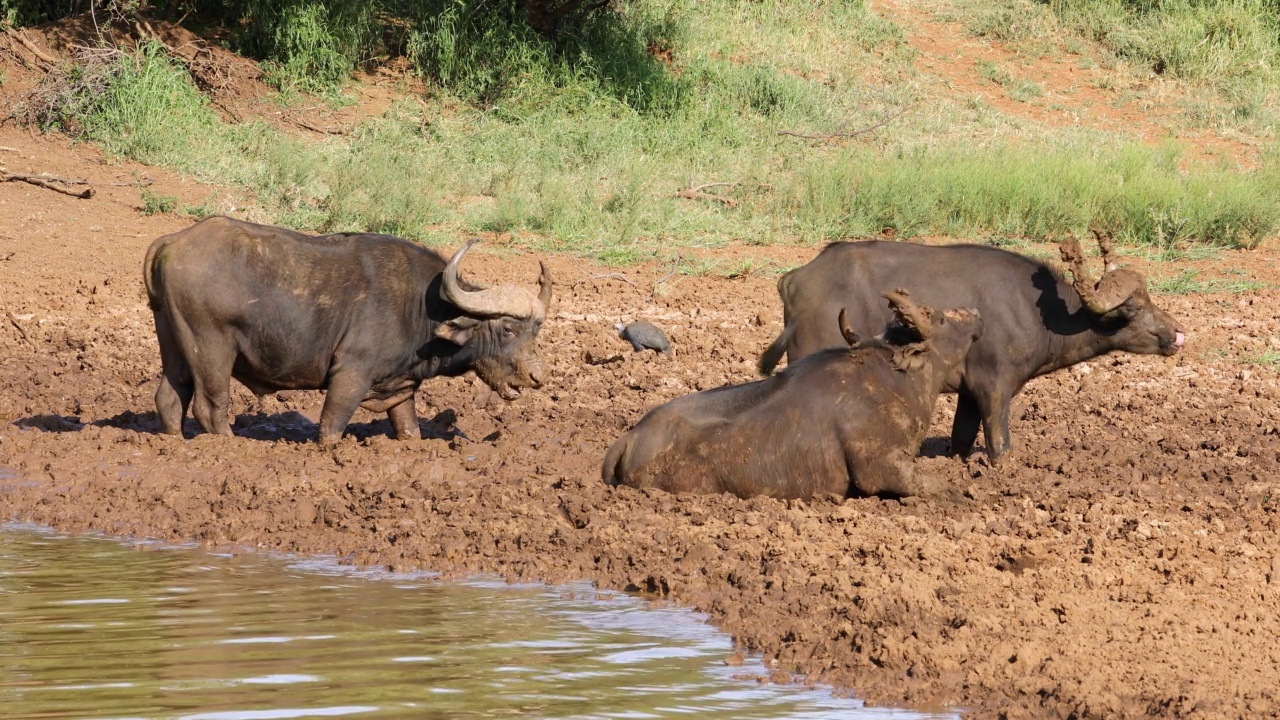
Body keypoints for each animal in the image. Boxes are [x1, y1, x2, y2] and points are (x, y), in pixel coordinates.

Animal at [142, 212, 552, 440]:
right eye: (508, 329)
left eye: (536, 331)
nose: (537, 377)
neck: (422, 306)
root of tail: (175, 240)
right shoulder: (351, 376)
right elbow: (330, 429)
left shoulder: (400, 388)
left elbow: (409, 430)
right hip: (212, 349)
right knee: (210, 408)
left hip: (174, 346)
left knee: (170, 399)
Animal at [599, 288, 977, 497]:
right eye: (939, 318)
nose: (973, 311)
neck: (895, 378)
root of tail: (631, 438)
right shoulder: (881, 467)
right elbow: (938, 488)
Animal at [752, 230, 1182, 466]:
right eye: (1134, 307)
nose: (1177, 334)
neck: (1038, 313)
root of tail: (796, 278)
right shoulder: (994, 386)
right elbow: (1000, 447)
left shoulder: (969, 393)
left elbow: (960, 440)